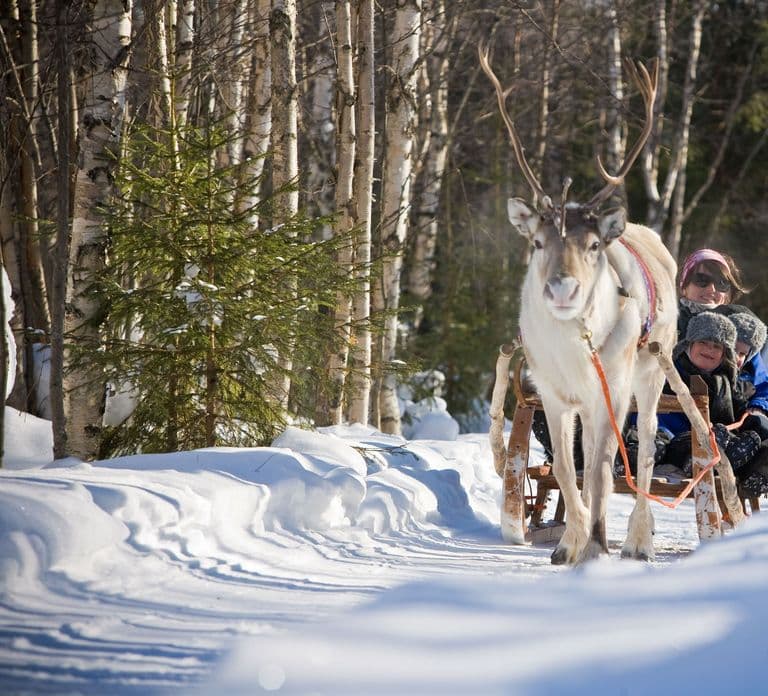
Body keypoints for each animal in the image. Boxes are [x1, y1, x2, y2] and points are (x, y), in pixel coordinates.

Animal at [480, 46, 679, 565]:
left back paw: (636, 541)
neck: (573, 351)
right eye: (536, 242)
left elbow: (603, 470)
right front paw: (569, 543)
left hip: (651, 375)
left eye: (592, 245)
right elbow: (568, 472)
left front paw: (594, 544)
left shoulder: (611, 390)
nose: (563, 289)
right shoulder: (553, 394)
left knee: (644, 454)